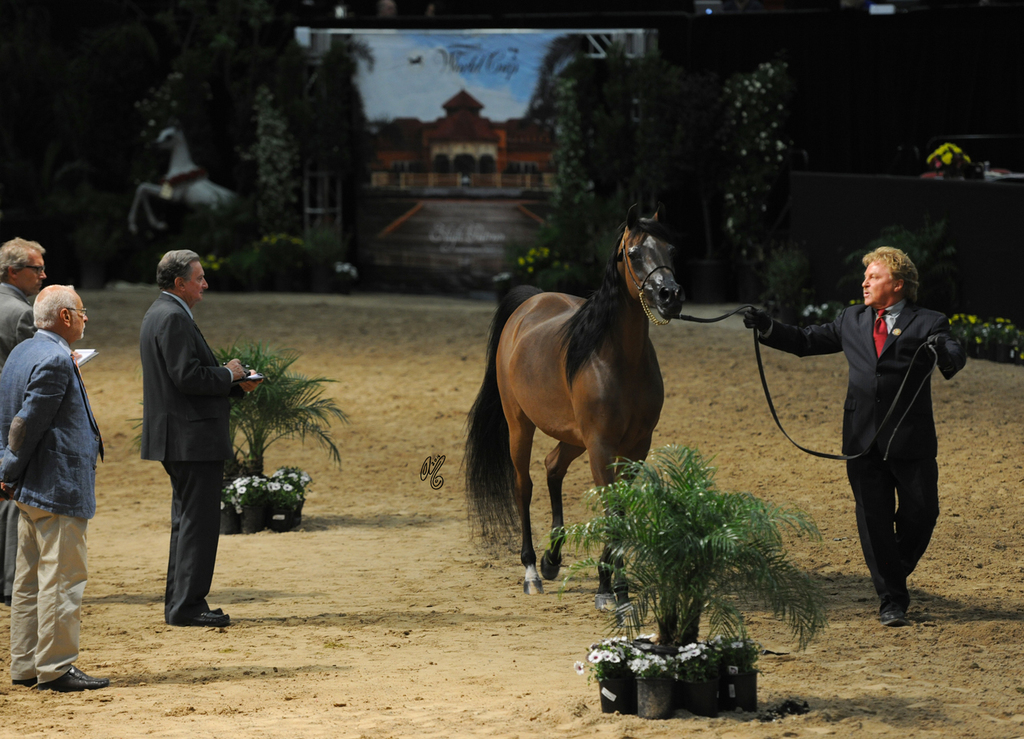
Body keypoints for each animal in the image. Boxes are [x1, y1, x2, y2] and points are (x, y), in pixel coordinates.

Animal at [464, 203, 684, 608]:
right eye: (633, 253)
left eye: (671, 250)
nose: (670, 295)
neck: (618, 360)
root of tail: (531, 302)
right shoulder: (601, 446)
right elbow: (611, 510)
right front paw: (608, 589)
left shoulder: (636, 447)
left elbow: (621, 511)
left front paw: (615, 585)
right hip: (521, 426)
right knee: (524, 485)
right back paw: (532, 570)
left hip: (572, 436)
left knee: (553, 466)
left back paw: (552, 559)